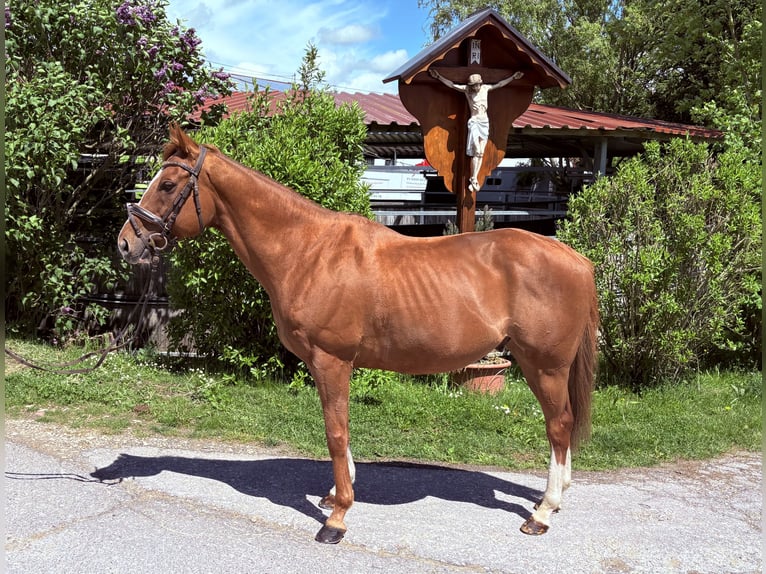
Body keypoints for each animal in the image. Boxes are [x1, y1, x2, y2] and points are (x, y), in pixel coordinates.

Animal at [117, 124, 599, 544]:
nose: (126, 243)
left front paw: (337, 519)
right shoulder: (324, 364)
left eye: (167, 185)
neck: (308, 251)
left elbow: (336, 432)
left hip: (544, 365)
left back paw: (542, 512)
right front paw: (336, 494)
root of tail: (575, 258)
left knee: (559, 425)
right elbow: (337, 430)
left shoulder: (333, 360)